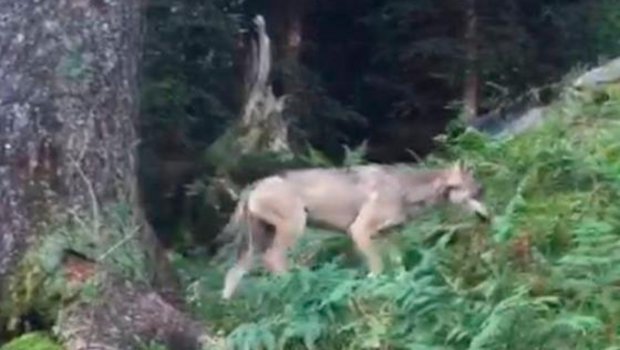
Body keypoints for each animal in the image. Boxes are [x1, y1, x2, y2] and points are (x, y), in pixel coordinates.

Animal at [218, 161, 490, 298]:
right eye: (477, 193)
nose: (489, 217)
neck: (405, 189)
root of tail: (253, 185)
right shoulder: (359, 231)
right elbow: (377, 268)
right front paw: (374, 287)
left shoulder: (389, 235)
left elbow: (399, 265)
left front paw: (404, 285)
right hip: (292, 230)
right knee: (273, 260)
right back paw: (298, 286)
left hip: (254, 245)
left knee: (232, 274)